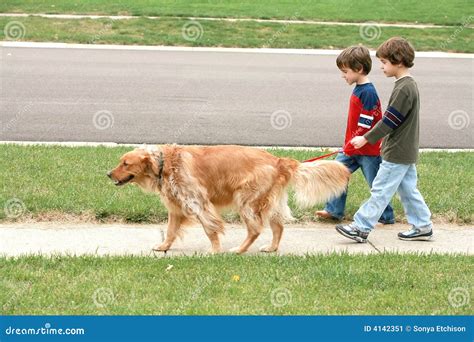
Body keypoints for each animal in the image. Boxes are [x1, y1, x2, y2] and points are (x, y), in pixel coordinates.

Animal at [109, 144, 350, 254]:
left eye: (126, 163)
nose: (108, 174)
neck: (164, 164)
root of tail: (278, 160)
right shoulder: (176, 208)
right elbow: (170, 231)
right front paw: (164, 246)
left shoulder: (199, 203)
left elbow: (210, 230)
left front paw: (215, 250)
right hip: (268, 203)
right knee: (278, 227)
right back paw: (271, 248)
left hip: (246, 201)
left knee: (255, 229)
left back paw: (240, 250)